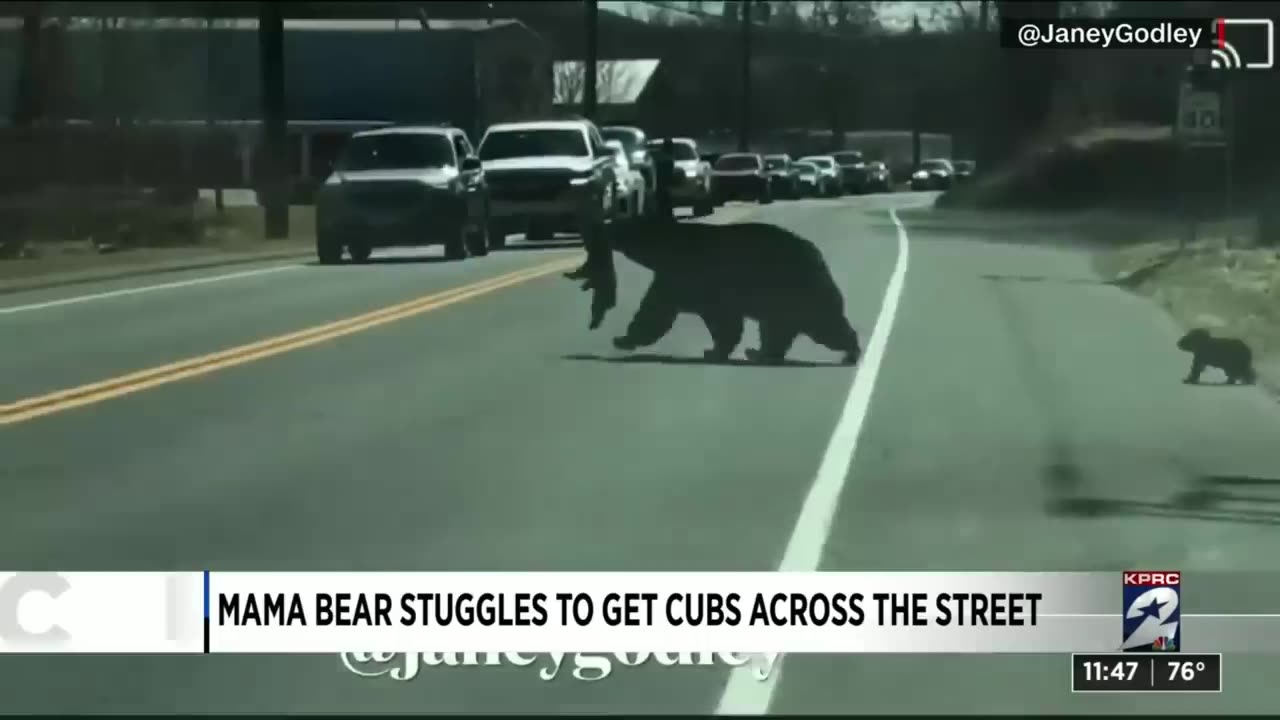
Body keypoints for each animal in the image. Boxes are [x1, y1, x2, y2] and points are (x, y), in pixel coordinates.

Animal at [578, 217, 860, 363]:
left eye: (623, 224)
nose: (604, 225)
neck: (668, 247)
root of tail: (819, 258)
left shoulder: (696, 277)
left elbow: (660, 313)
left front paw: (623, 339)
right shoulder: (678, 280)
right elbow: (660, 309)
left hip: (798, 289)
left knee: (824, 324)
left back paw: (851, 351)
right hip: (782, 299)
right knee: (777, 329)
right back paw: (760, 353)